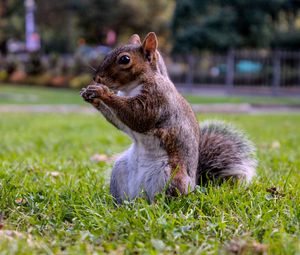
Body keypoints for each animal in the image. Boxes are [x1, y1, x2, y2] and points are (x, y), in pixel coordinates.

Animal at [80, 31, 258, 203]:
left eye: (125, 59)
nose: (96, 78)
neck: (131, 88)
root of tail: (194, 185)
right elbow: (120, 121)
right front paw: (90, 96)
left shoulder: (157, 99)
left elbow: (138, 116)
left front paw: (101, 92)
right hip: (120, 169)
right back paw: (118, 206)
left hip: (170, 176)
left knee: (167, 200)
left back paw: (155, 206)